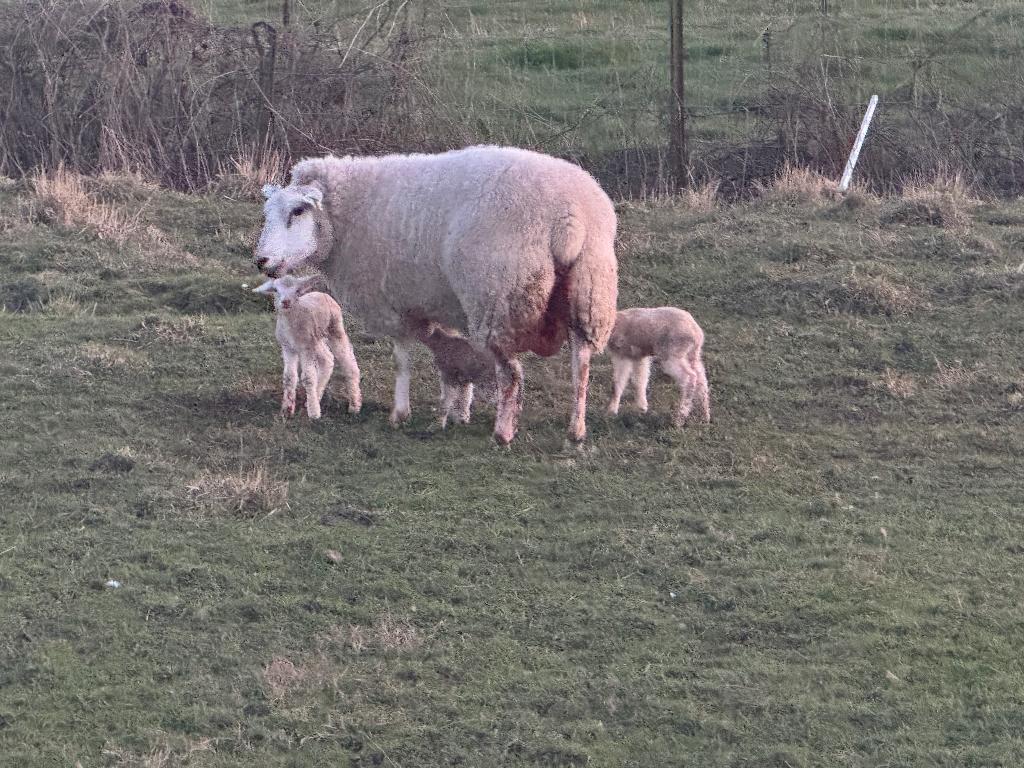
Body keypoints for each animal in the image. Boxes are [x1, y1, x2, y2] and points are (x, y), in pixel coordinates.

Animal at [253, 274, 362, 419]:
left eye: (297, 290)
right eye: (275, 290)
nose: (286, 302)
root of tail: (323, 294)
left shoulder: (306, 347)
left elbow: (308, 378)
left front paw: (314, 413)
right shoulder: (287, 347)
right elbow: (289, 377)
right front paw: (287, 410)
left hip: (334, 328)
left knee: (349, 363)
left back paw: (354, 405)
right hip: (316, 338)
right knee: (327, 359)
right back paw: (317, 395)